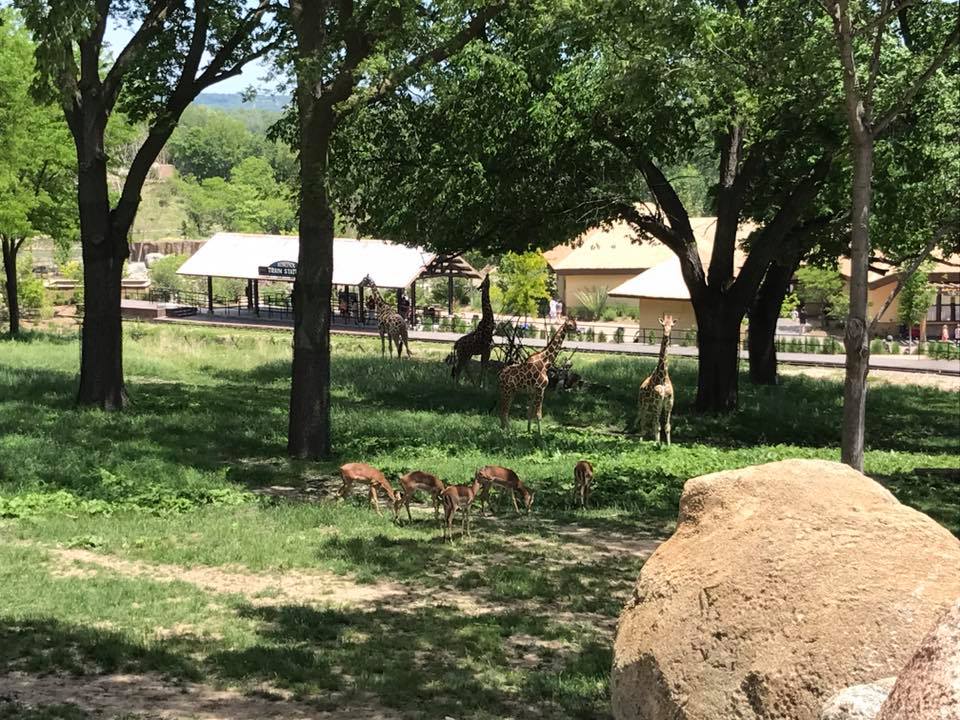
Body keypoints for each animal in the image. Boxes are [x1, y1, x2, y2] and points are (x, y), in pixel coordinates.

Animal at [636, 315, 675, 446]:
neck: (662, 377)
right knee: (643, 420)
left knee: (648, 421)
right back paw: (641, 441)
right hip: (643, 404)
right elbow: (657, 426)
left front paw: (668, 445)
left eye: (672, 325)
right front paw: (657, 444)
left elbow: (667, 426)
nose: (667, 334)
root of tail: (641, 386)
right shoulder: (657, 402)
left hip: (651, 406)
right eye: (662, 325)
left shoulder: (669, 403)